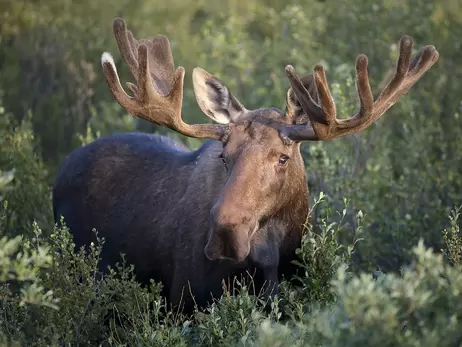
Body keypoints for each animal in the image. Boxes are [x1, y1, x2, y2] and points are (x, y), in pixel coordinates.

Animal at [52, 17, 438, 314]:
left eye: (283, 157)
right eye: (224, 156)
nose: (226, 233)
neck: (270, 259)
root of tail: (64, 164)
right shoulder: (184, 304)